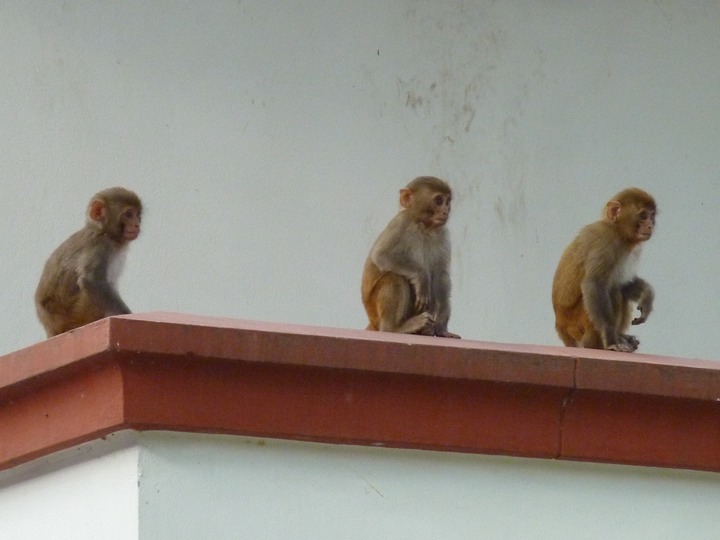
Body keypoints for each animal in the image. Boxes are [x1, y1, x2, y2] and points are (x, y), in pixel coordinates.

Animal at [35, 187, 143, 337]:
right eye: (128, 214)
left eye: (137, 215)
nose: (136, 224)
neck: (103, 231)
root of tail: (51, 328)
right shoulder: (101, 245)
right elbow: (92, 281)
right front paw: (126, 315)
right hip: (74, 313)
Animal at [361, 176, 460, 338]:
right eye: (438, 200)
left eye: (447, 201)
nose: (445, 211)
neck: (423, 226)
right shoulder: (401, 222)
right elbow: (381, 255)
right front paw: (421, 277)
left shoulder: (443, 233)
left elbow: (441, 275)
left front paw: (441, 328)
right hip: (375, 312)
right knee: (394, 277)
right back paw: (395, 328)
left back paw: (428, 330)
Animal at [552, 187, 656, 352]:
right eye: (643, 216)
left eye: (652, 216)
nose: (650, 225)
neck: (618, 232)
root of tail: (561, 326)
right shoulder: (605, 241)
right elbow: (594, 284)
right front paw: (611, 338)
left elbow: (624, 282)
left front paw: (647, 295)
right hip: (578, 324)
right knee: (611, 289)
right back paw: (599, 343)